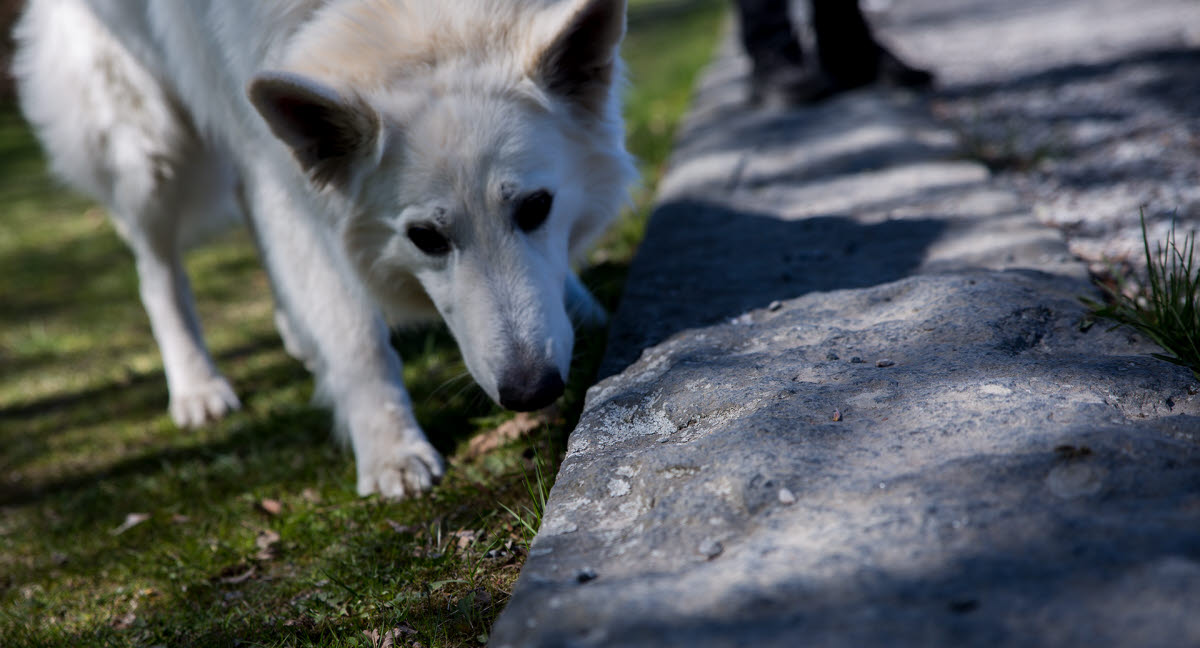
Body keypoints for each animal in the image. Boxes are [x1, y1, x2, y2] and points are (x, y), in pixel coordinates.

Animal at [11, 0, 638, 496]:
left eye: (535, 208)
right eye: (426, 239)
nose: (533, 391)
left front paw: (579, 304)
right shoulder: (288, 187)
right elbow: (356, 335)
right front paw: (390, 450)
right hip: (150, 149)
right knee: (156, 265)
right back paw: (196, 386)